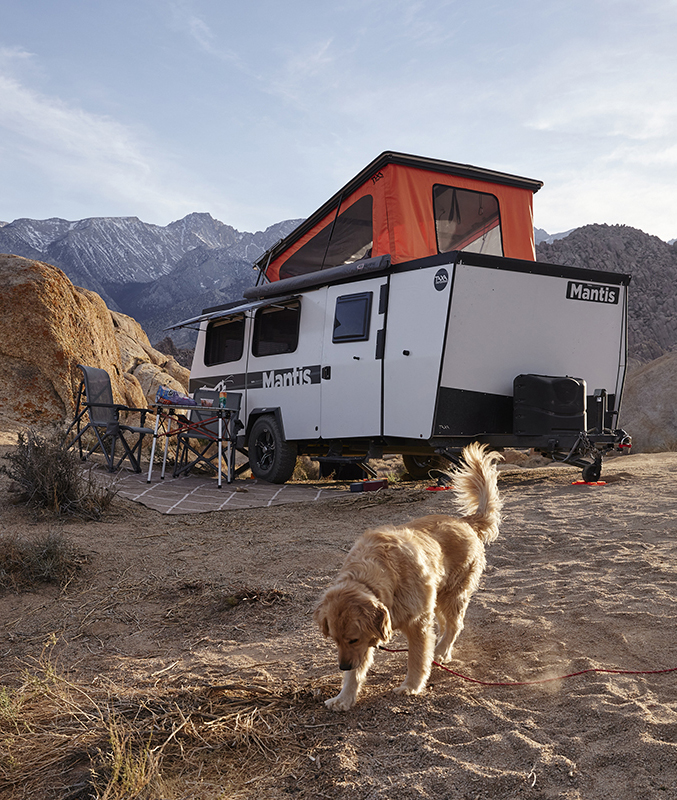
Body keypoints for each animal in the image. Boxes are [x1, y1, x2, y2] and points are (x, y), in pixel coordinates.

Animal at [312, 444, 502, 712]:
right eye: (335, 640)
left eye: (352, 638)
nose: (343, 665)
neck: (379, 572)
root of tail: (464, 521)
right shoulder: (368, 639)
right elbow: (356, 674)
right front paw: (343, 698)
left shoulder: (417, 624)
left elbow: (417, 658)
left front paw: (411, 686)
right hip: (438, 598)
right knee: (446, 624)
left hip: (453, 594)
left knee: (455, 625)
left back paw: (441, 651)